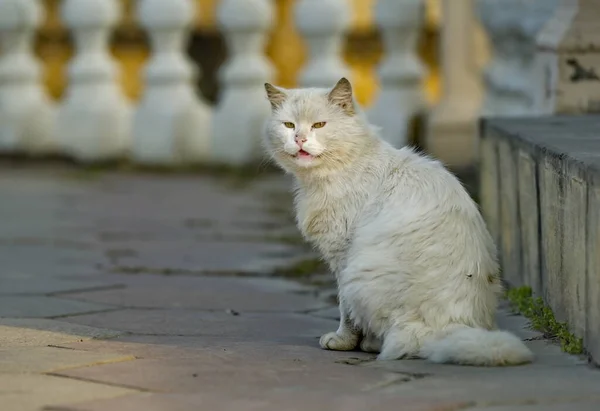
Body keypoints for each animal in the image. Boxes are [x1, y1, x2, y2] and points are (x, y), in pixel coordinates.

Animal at [264, 78, 536, 366]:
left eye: (318, 125)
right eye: (289, 125)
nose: (299, 139)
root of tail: (453, 325)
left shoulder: (342, 256)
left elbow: (345, 312)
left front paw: (342, 342)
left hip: (359, 275)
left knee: (400, 339)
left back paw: (372, 345)